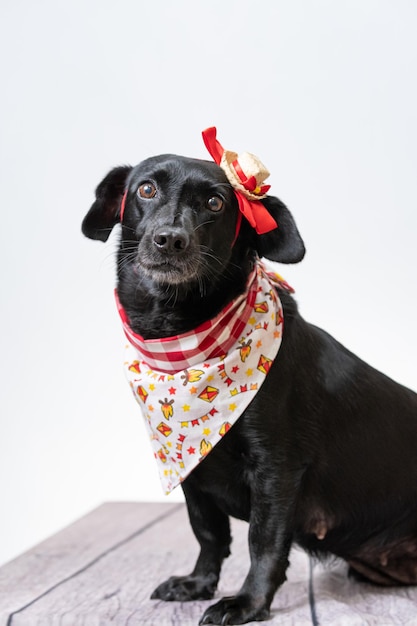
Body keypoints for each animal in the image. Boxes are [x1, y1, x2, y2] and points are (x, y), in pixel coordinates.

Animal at [81, 150, 416, 620]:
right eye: (146, 189)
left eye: (216, 202)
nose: (170, 239)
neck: (183, 346)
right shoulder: (192, 472)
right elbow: (208, 533)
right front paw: (199, 583)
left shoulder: (275, 469)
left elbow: (264, 542)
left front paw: (247, 603)